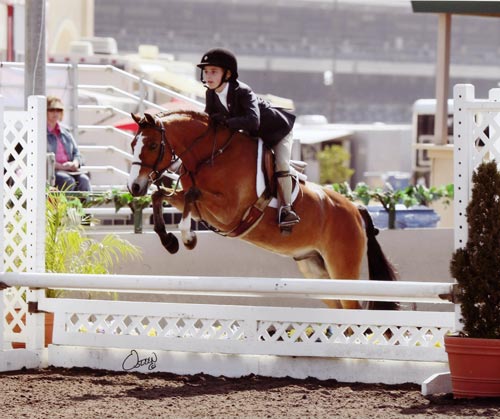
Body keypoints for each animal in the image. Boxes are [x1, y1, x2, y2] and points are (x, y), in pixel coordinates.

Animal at [127, 111, 396, 312]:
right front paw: (169, 241)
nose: (134, 187)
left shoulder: (229, 212)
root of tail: (356, 211)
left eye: (153, 145)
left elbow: (191, 195)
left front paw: (187, 238)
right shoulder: (202, 207)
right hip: (316, 271)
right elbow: (161, 195)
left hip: (342, 267)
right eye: (132, 144)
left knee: (354, 309)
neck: (211, 155)